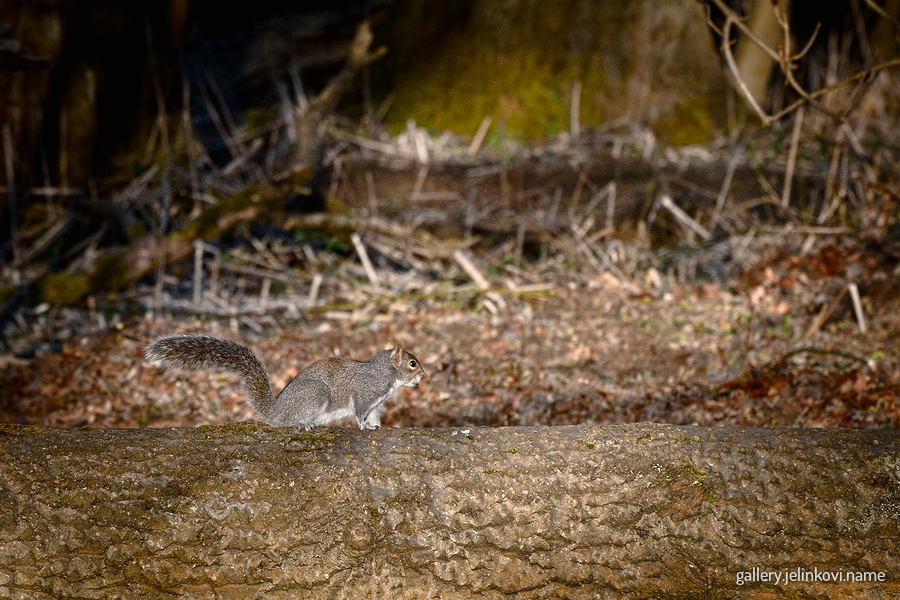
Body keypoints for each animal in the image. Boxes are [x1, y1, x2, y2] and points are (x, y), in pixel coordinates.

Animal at [144, 334, 426, 430]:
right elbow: (359, 411)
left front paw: (378, 426)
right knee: (288, 422)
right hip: (315, 394)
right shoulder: (365, 392)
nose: (424, 376)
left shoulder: (377, 402)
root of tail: (276, 411)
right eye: (412, 363)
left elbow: (374, 415)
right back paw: (302, 423)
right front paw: (364, 426)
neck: (386, 372)